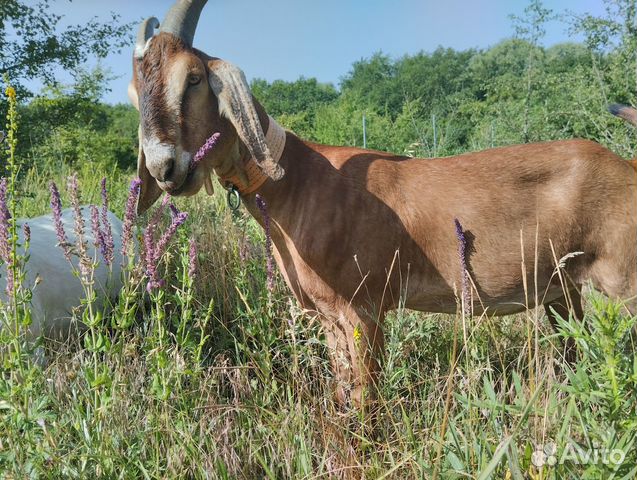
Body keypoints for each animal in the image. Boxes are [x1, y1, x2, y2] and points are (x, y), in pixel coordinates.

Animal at [129, 0, 636, 404]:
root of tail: (626, 165)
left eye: (194, 78)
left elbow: (365, 402)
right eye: (135, 93)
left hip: (622, 283)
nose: (164, 167)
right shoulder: (328, 316)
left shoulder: (363, 307)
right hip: (562, 292)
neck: (300, 183)